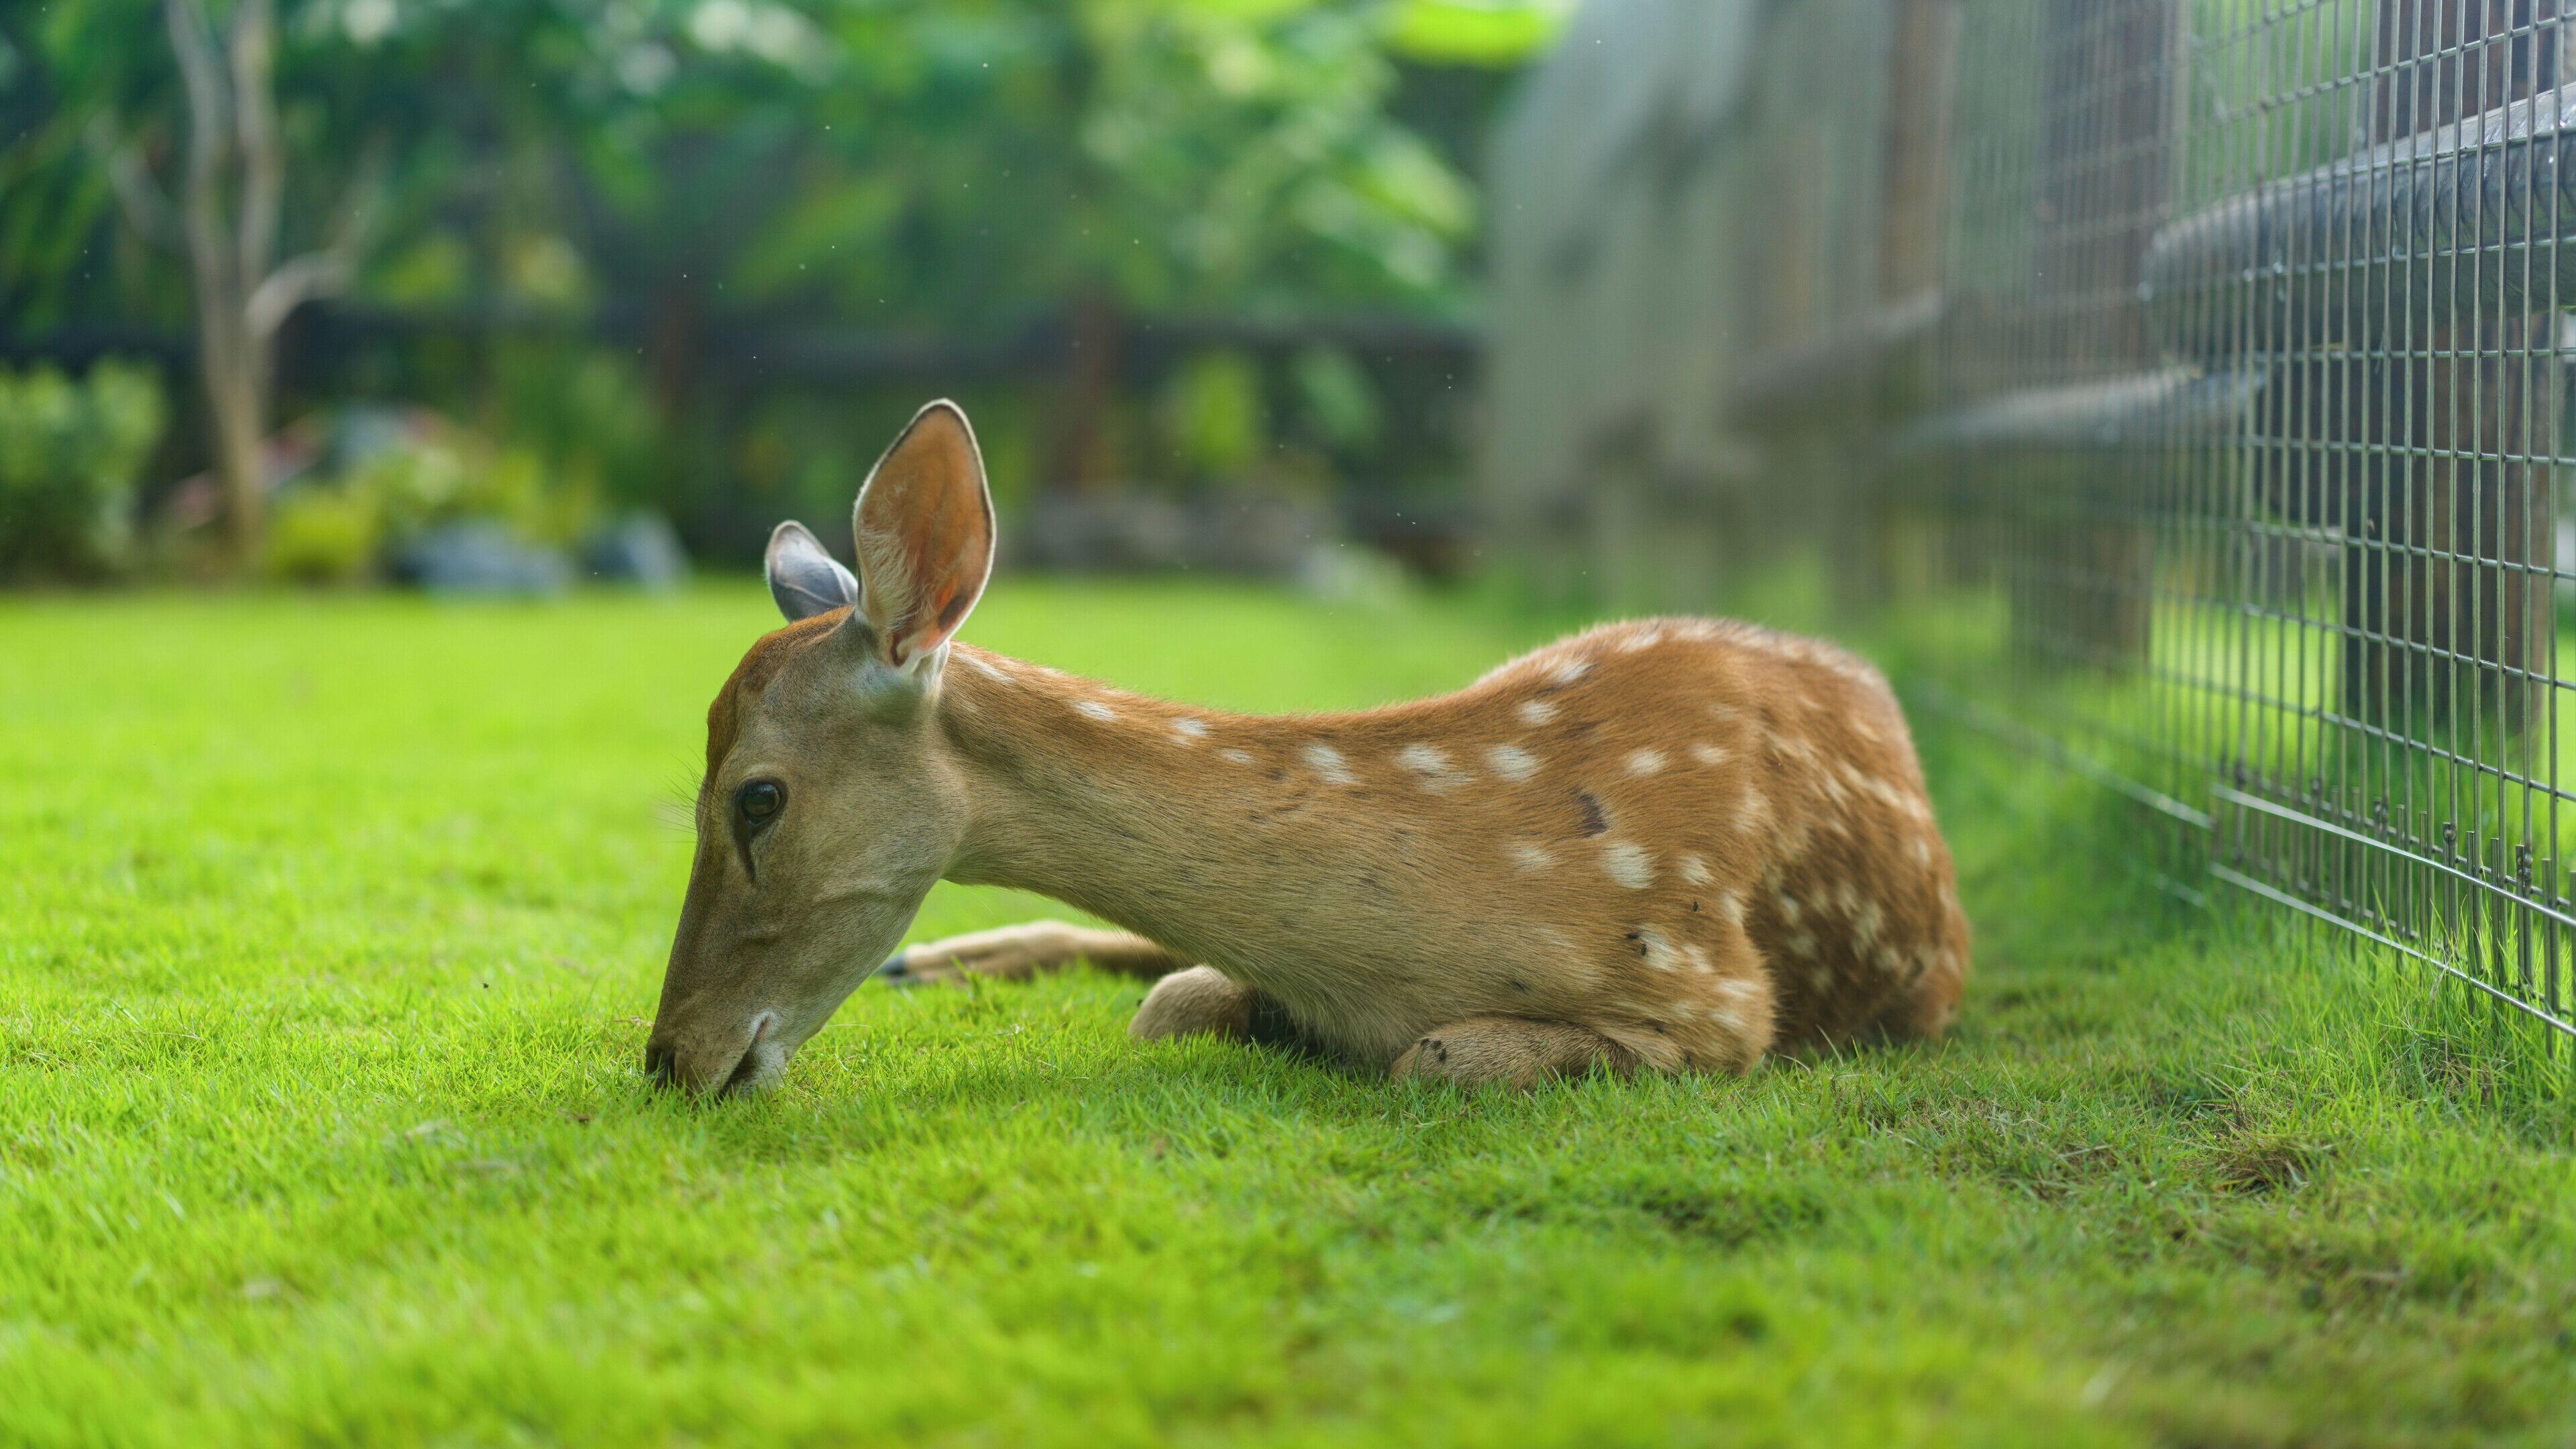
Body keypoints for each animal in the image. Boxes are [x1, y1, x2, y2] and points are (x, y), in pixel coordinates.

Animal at [644, 400, 1970, 1095]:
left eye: (756, 799)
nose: (670, 1057)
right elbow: (1171, 996)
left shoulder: (1718, 999)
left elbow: (1436, 1055)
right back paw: (941, 961)